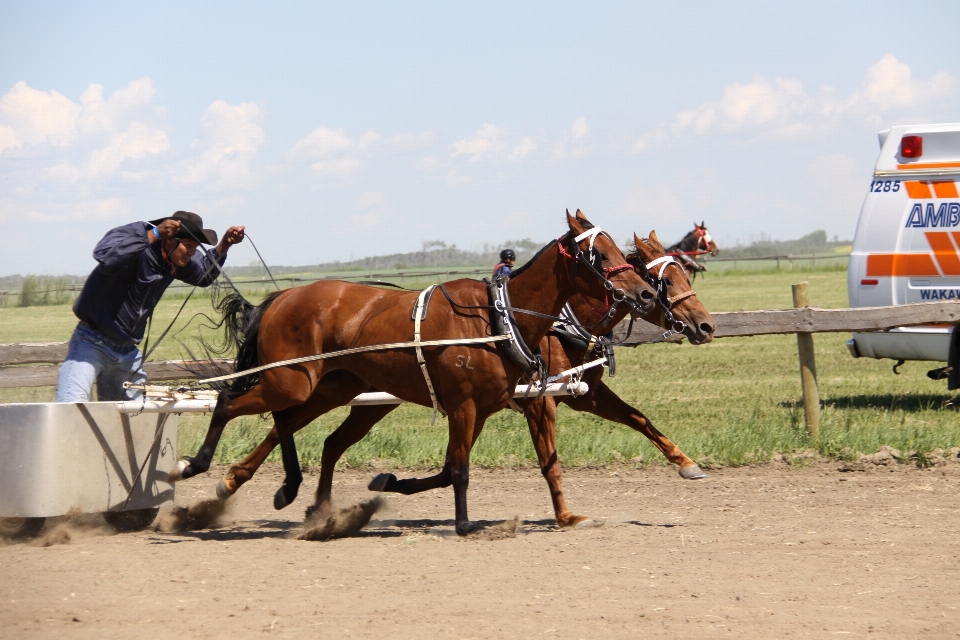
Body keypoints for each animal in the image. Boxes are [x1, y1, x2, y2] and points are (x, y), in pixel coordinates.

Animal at [172, 211, 656, 536]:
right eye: (599, 254)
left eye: (622, 251)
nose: (645, 293)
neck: (497, 318)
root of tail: (282, 297)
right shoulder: (465, 405)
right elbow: (459, 470)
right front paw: (465, 524)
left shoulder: (482, 410)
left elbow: (454, 466)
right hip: (291, 381)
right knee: (229, 402)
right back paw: (198, 466)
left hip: (328, 387)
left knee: (296, 427)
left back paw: (301, 499)